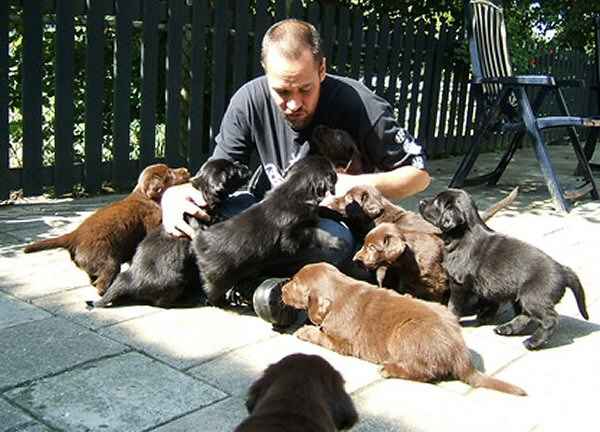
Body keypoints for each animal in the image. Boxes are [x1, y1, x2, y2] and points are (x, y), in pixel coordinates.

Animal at [24, 164, 190, 296]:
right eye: (170, 173)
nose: (186, 170)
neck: (146, 197)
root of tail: (73, 236)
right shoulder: (152, 221)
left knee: (93, 279)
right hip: (108, 261)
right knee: (101, 284)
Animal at [88, 160, 250, 308]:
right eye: (234, 170)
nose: (247, 167)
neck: (204, 192)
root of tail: (130, 279)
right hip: (174, 282)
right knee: (160, 302)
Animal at [282, 262, 524, 396]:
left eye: (294, 283)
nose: (282, 288)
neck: (339, 288)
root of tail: (460, 353)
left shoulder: (342, 342)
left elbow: (321, 336)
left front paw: (305, 331)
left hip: (403, 333)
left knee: (425, 372)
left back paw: (389, 369)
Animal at [420, 187, 588, 350]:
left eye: (437, 202)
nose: (421, 202)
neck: (462, 236)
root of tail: (563, 270)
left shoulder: (458, 284)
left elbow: (453, 306)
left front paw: (451, 319)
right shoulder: (484, 285)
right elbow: (488, 301)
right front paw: (484, 315)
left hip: (533, 296)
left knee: (549, 319)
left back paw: (533, 341)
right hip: (523, 297)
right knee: (526, 315)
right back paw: (507, 328)